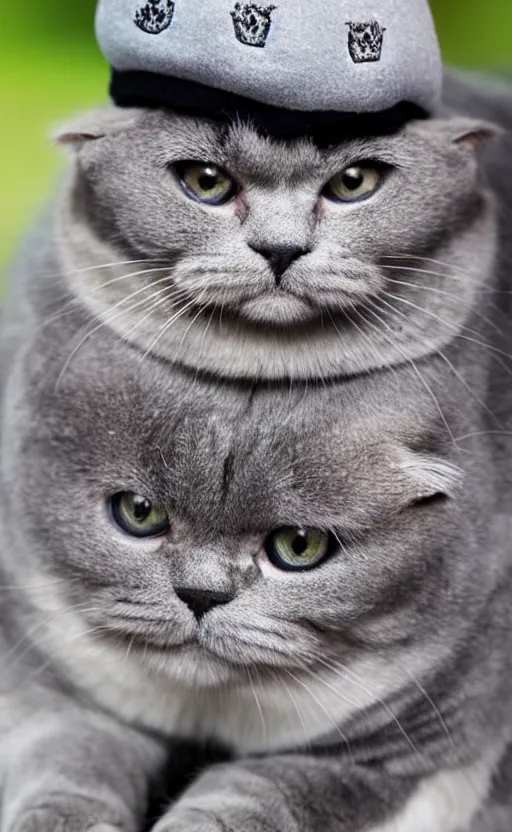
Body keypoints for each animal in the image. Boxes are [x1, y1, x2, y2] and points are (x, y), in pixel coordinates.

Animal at [1, 71, 512, 832]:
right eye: (137, 515)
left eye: (299, 548)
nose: (200, 596)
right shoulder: (45, 682)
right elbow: (69, 762)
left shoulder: (403, 754)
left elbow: (259, 797)